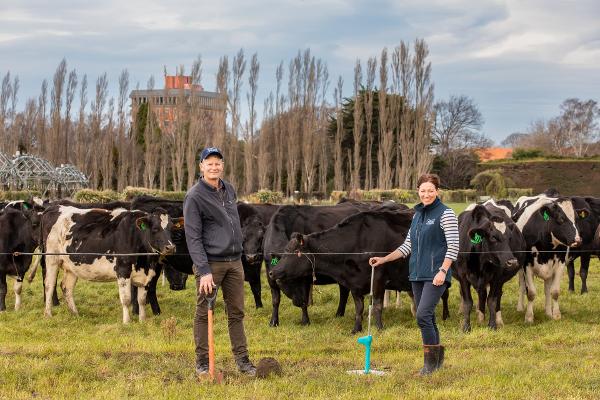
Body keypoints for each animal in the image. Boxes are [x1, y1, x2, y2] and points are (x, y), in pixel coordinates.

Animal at [40, 205, 173, 324]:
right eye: (155, 229)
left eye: (172, 229)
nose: (170, 247)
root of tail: (54, 207)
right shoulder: (123, 270)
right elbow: (126, 299)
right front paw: (127, 322)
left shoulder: (146, 275)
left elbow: (141, 300)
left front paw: (142, 321)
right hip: (51, 258)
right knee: (49, 285)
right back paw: (48, 314)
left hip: (71, 265)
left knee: (66, 287)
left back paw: (75, 314)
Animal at [270, 211, 418, 332]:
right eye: (284, 251)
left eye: (294, 252)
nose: (272, 272)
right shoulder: (354, 284)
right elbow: (359, 308)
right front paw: (356, 329)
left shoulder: (378, 279)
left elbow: (377, 305)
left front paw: (379, 328)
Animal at [454, 202, 524, 332]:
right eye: (493, 237)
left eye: (509, 238)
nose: (512, 262)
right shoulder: (463, 276)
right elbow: (468, 302)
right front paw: (466, 327)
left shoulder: (496, 277)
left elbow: (492, 300)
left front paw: (492, 325)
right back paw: (480, 317)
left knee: (496, 295)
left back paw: (497, 319)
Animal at [512, 195, 580, 324]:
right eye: (561, 219)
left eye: (576, 219)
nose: (578, 240)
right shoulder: (527, 265)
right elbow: (531, 293)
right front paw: (529, 317)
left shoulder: (560, 264)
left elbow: (555, 291)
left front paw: (556, 315)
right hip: (520, 268)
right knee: (522, 286)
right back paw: (520, 308)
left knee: (547, 289)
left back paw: (548, 312)